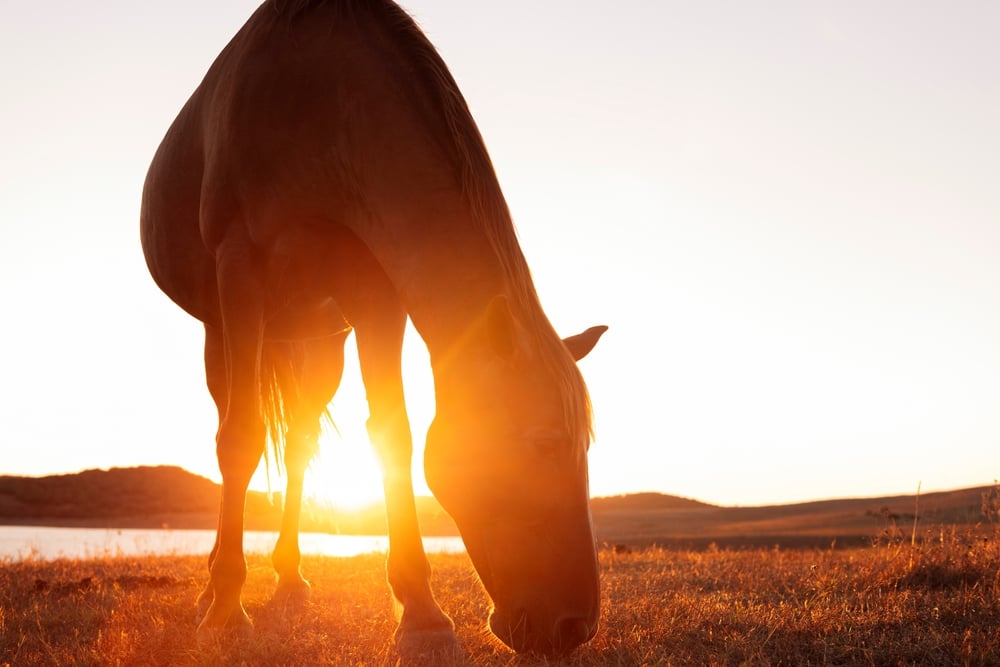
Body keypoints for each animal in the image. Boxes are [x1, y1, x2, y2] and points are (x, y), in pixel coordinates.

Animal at [140, 0, 606, 656]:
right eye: (543, 443)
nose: (573, 628)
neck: (320, 102)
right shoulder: (239, 272)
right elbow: (239, 440)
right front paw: (227, 611)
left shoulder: (376, 295)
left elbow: (393, 436)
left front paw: (423, 617)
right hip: (224, 331)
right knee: (233, 427)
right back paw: (213, 591)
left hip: (320, 341)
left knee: (303, 443)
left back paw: (291, 576)